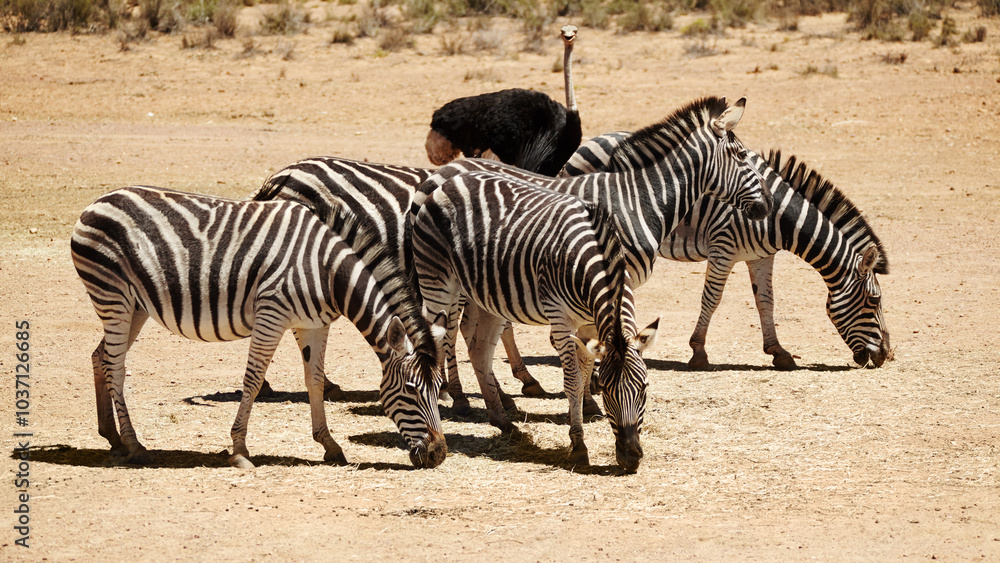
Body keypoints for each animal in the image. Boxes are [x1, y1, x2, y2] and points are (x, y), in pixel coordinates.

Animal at [71, 186, 447, 469]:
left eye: (439, 388)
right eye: (411, 390)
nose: (439, 454)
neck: (326, 271)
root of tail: (97, 202)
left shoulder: (314, 325)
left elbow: (314, 381)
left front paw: (330, 445)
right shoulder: (272, 314)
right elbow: (252, 380)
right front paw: (239, 450)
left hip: (135, 306)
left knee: (99, 356)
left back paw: (113, 438)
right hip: (113, 296)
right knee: (115, 367)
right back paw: (134, 445)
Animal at [412, 170, 658, 472]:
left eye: (644, 388)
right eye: (608, 392)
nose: (631, 457)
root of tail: (449, 181)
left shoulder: (590, 326)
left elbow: (585, 373)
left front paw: (582, 412)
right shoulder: (561, 320)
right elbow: (573, 381)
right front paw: (578, 445)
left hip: (488, 295)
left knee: (479, 350)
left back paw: (503, 421)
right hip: (437, 282)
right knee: (437, 339)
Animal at [558, 131, 892, 370]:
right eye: (874, 300)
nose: (886, 356)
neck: (775, 217)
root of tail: (593, 139)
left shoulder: (761, 256)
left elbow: (766, 302)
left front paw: (778, 352)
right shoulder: (724, 247)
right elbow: (712, 299)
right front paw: (699, 352)